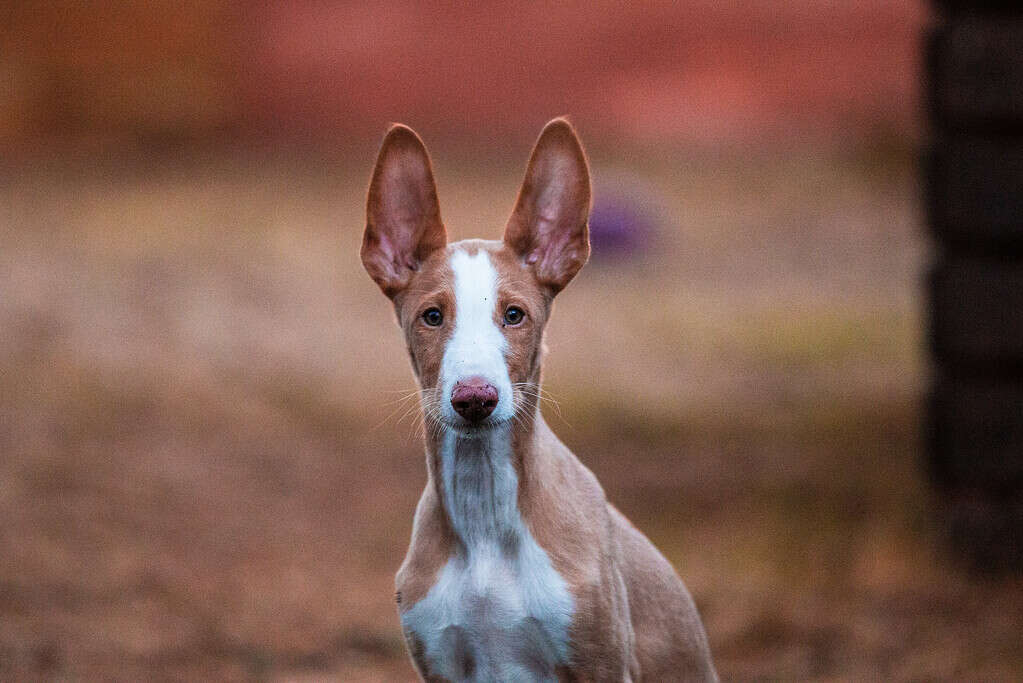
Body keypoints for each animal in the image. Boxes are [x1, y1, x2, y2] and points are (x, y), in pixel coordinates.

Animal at [364, 120, 716, 678]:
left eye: (515, 315)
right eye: (432, 316)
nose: (475, 398)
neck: (484, 509)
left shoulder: (601, 662)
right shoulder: (441, 661)